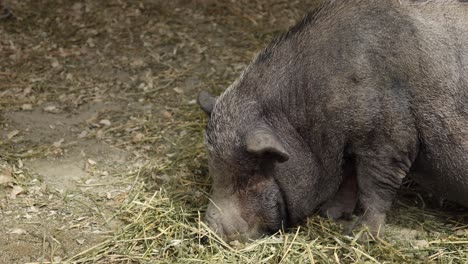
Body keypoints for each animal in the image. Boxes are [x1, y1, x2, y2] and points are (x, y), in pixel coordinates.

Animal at [197, 0, 468, 241]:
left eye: (250, 176)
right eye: (214, 170)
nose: (210, 228)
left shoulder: (389, 140)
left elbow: (374, 188)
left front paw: (359, 236)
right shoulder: (350, 144)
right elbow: (349, 180)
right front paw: (330, 214)